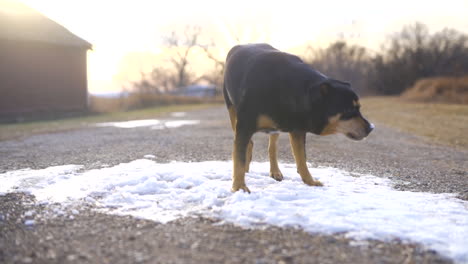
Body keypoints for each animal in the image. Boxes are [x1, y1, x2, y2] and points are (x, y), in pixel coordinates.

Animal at [223, 43, 372, 192]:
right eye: (349, 110)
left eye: (358, 107)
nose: (371, 128)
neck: (293, 91)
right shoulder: (244, 127)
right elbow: (239, 159)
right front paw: (239, 188)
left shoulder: (298, 129)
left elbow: (301, 158)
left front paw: (310, 181)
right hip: (232, 111)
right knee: (248, 144)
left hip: (276, 125)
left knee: (272, 147)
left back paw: (275, 171)